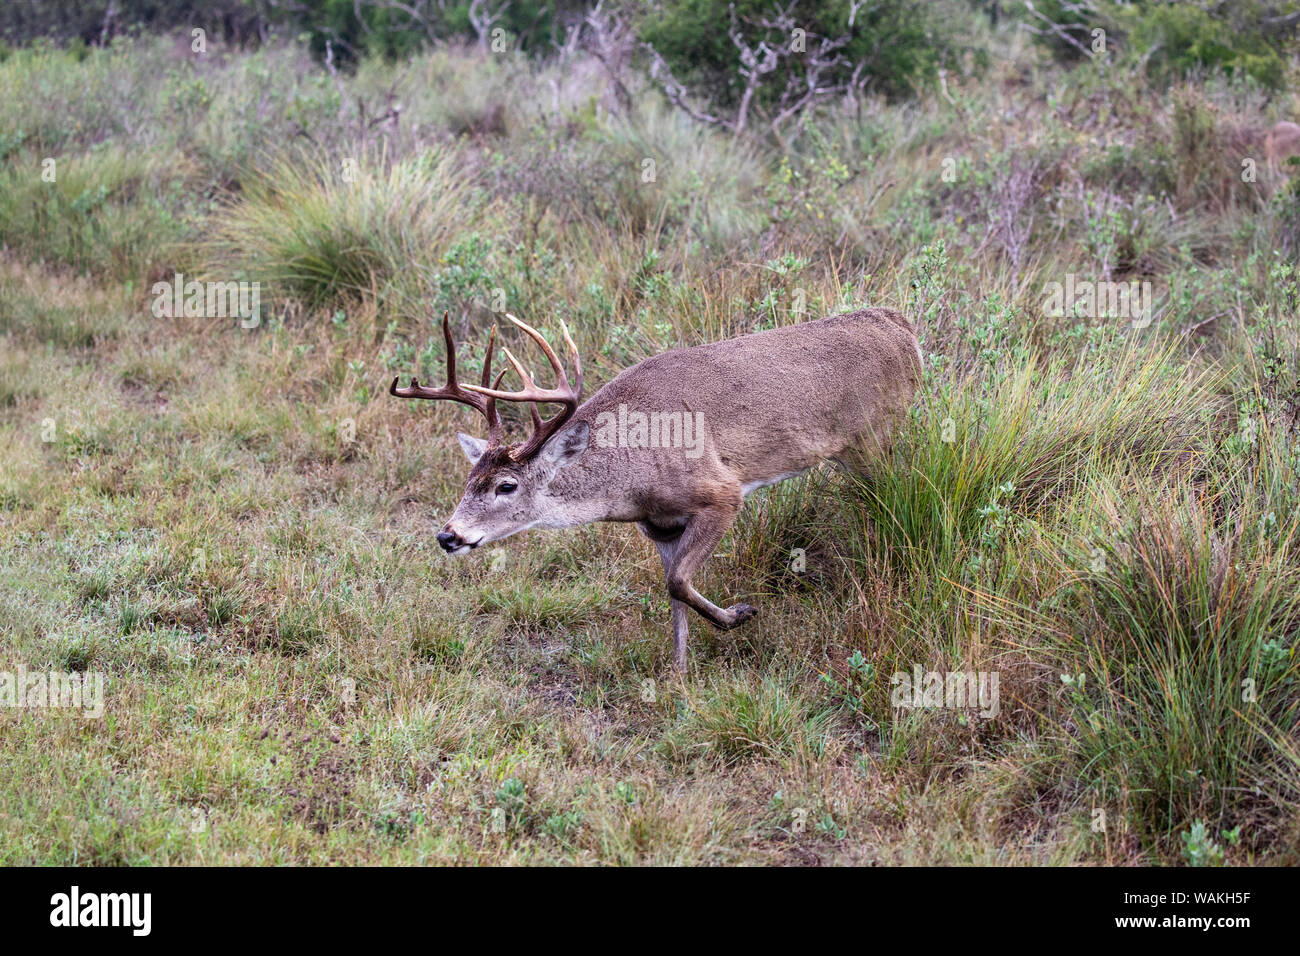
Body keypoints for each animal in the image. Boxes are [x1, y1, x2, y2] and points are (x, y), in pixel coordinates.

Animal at [395, 308, 925, 671]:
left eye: (507, 485)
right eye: (468, 480)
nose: (448, 535)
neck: (632, 476)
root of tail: (902, 326)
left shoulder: (721, 493)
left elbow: (677, 583)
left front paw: (741, 614)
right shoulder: (659, 526)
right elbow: (674, 592)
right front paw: (679, 673)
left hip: (875, 436)